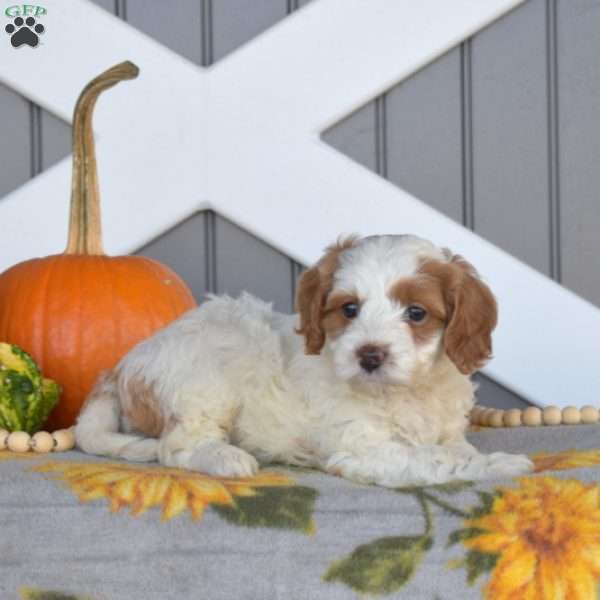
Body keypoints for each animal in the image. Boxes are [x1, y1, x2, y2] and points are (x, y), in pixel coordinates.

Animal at [76, 234, 536, 488]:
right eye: (349, 309)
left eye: (416, 313)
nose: (370, 355)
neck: (405, 392)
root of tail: (120, 368)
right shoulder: (360, 447)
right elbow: (435, 459)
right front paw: (499, 464)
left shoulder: (447, 432)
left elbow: (452, 449)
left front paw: (484, 459)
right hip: (212, 372)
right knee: (175, 447)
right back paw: (227, 458)